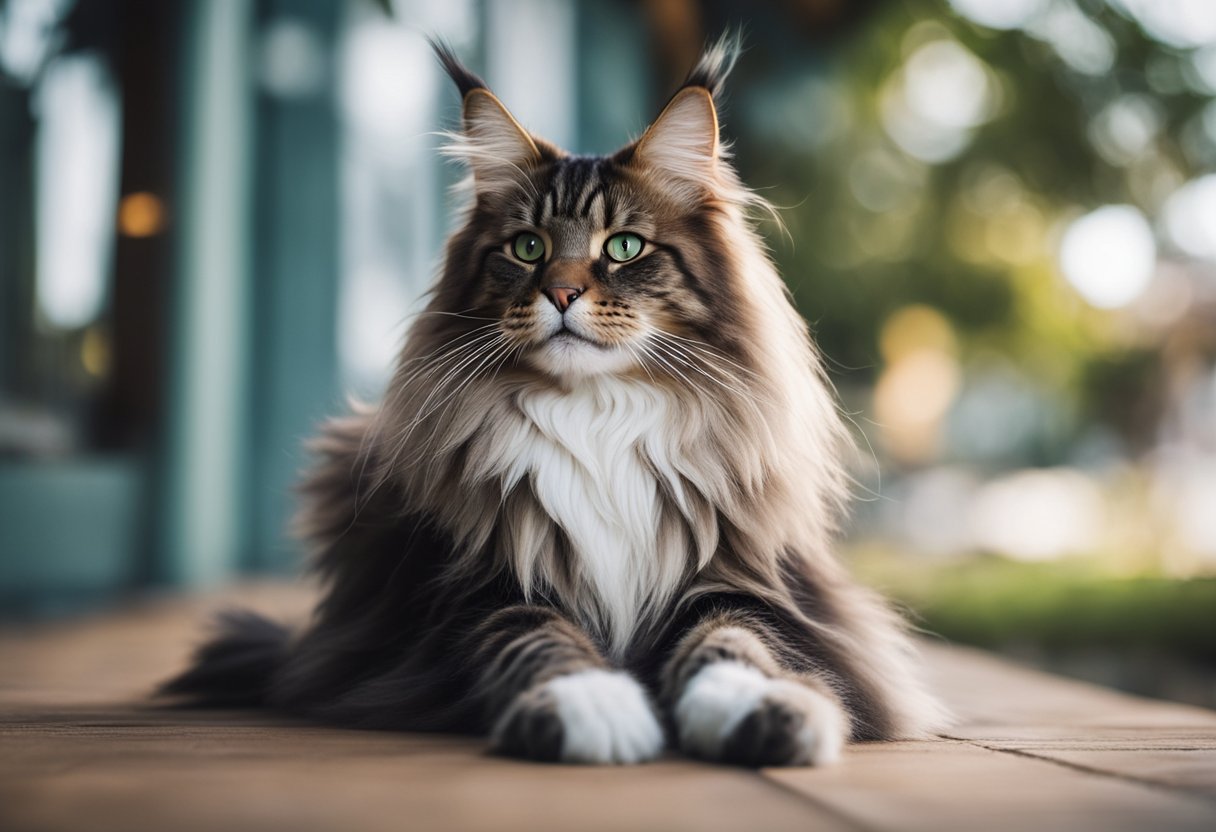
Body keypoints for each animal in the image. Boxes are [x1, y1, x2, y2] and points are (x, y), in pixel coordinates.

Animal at [161, 37, 943, 768]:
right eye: (528, 247)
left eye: (624, 247)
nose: (561, 293)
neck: (598, 415)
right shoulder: (475, 588)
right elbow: (537, 638)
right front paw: (593, 709)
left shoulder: (744, 585)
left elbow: (736, 645)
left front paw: (758, 713)